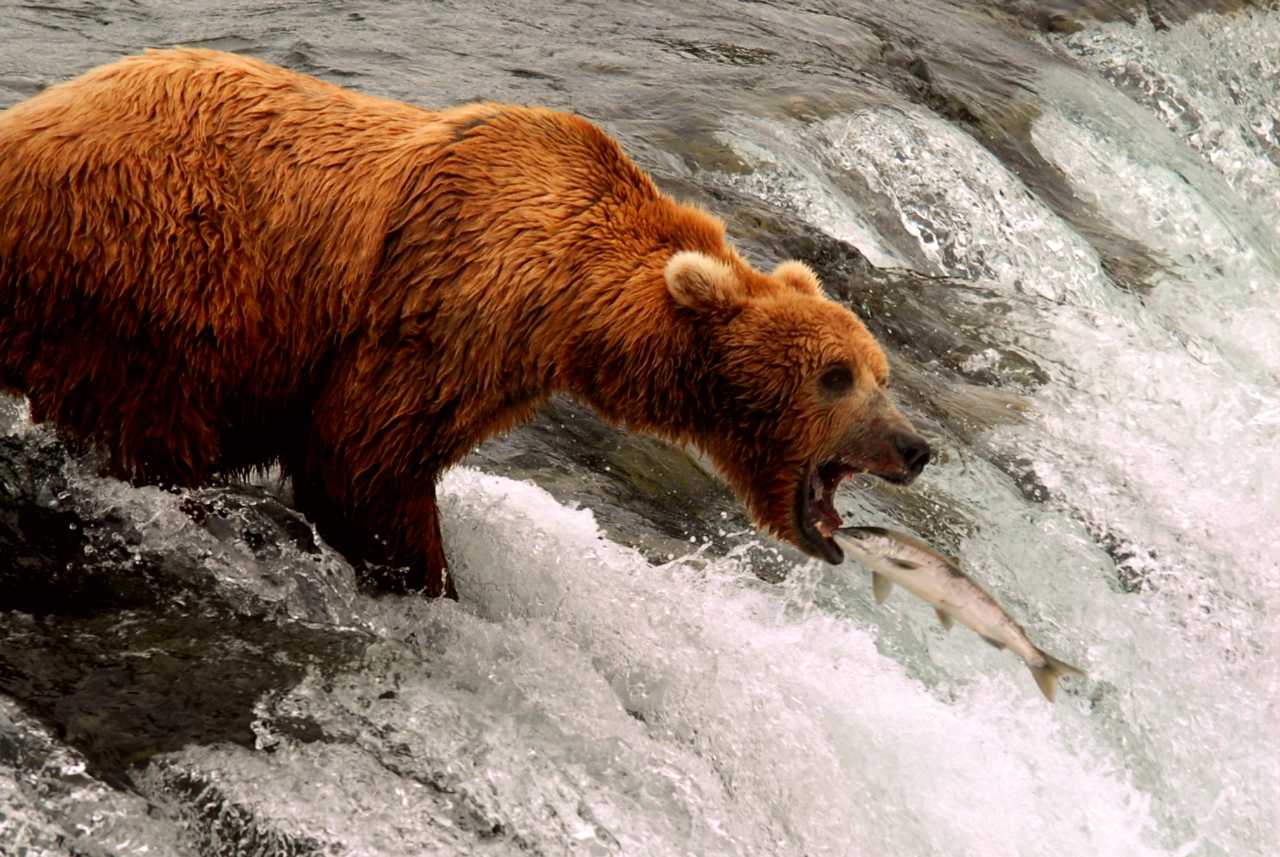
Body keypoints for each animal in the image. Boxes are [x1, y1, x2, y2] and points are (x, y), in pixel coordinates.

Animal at [0, 49, 930, 598]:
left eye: (881, 372)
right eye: (836, 376)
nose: (915, 446)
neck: (573, 300)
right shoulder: (442, 299)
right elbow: (361, 455)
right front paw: (430, 578)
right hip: (163, 263)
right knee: (156, 421)